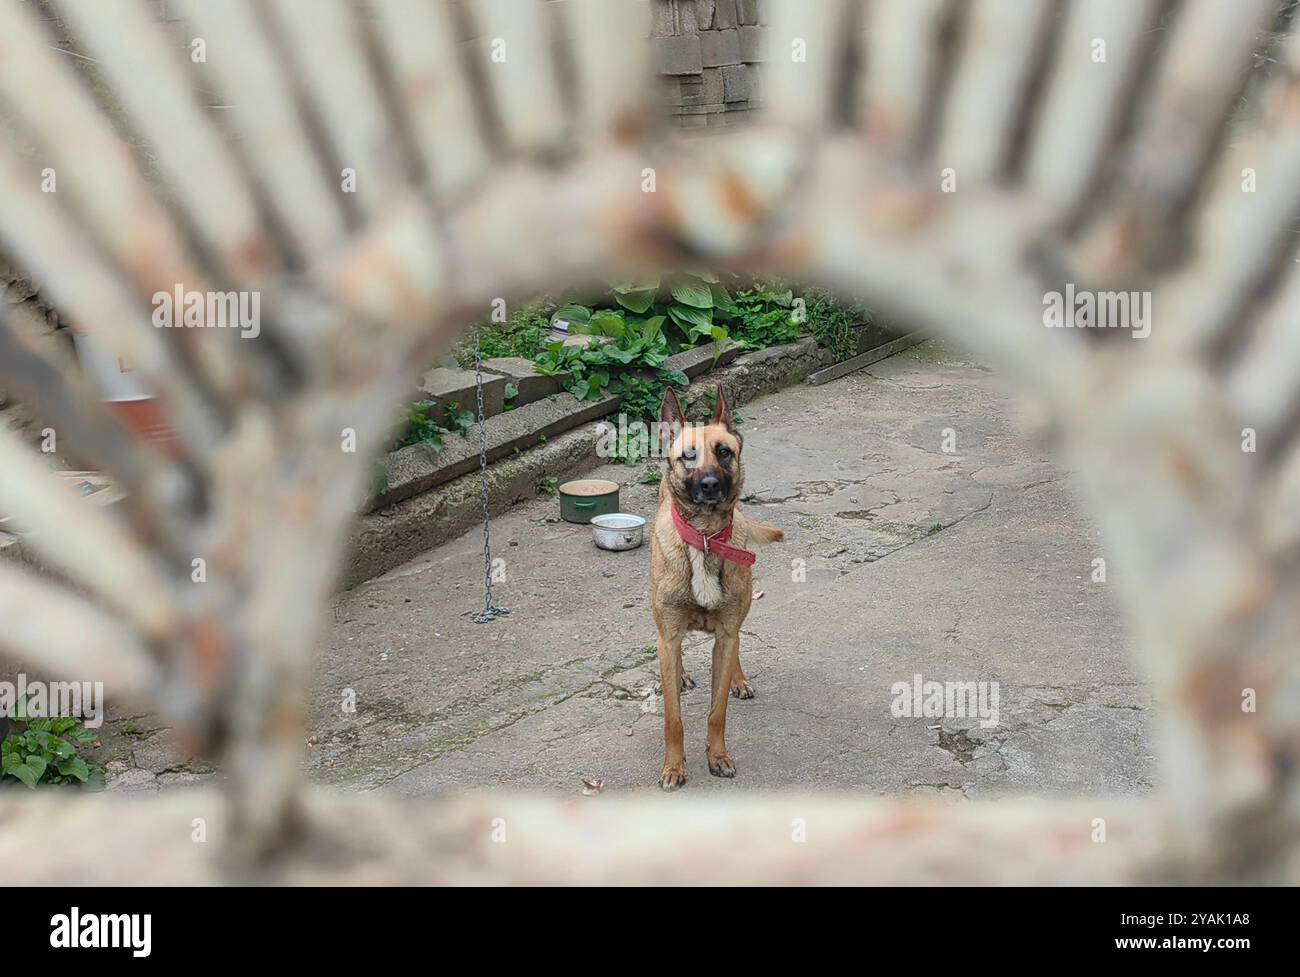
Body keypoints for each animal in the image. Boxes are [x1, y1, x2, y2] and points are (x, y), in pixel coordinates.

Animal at [650, 384, 780, 789]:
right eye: (688, 455)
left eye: (724, 451)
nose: (709, 486)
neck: (705, 538)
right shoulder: (670, 635)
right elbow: (673, 719)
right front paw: (674, 766)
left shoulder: (724, 634)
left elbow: (716, 711)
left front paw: (717, 755)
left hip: (740, 614)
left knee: (736, 641)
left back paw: (738, 678)